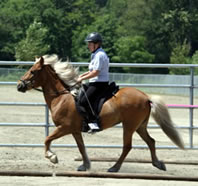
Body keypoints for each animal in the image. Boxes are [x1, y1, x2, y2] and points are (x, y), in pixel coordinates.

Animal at [17, 54, 184, 172]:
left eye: (33, 71)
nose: (20, 85)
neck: (61, 97)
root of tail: (146, 97)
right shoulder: (75, 130)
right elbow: (81, 147)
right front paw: (85, 165)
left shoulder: (64, 127)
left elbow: (47, 139)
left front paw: (52, 157)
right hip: (140, 126)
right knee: (151, 141)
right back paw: (158, 164)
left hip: (129, 126)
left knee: (127, 146)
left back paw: (114, 168)